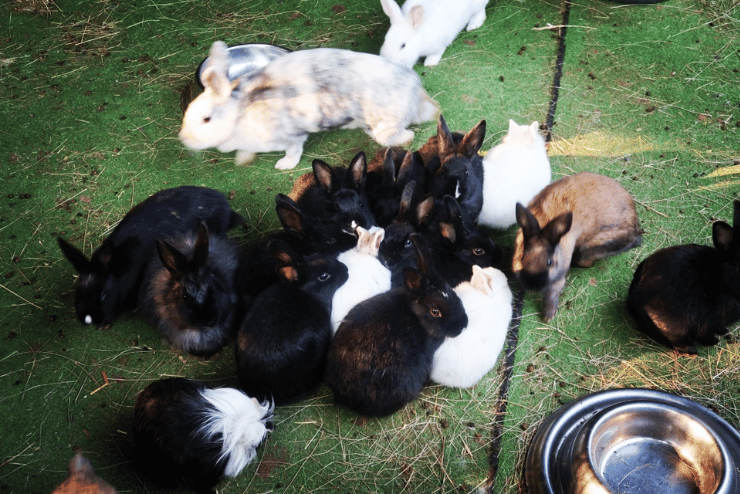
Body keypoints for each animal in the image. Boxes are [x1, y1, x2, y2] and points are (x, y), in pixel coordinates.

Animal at [180, 41, 439, 170]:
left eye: (206, 119)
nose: (184, 139)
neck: (240, 112)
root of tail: (415, 89)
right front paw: (243, 160)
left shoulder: (291, 137)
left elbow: (294, 151)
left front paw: (283, 165)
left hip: (385, 125)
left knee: (399, 136)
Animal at [512, 172, 642, 322]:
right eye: (522, 258)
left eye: (550, 262)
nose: (532, 286)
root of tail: (636, 228)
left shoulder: (558, 281)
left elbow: (552, 295)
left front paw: (548, 316)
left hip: (594, 246)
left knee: (586, 262)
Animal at [627, 200, 740, 354]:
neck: (721, 278)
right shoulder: (709, 318)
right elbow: (707, 332)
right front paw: (714, 341)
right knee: (677, 341)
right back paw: (691, 350)